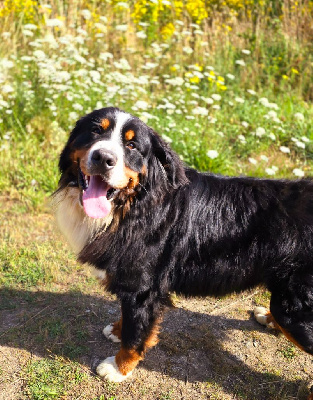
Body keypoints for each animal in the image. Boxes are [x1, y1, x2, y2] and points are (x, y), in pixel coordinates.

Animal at [53, 108, 312, 382]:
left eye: (132, 145)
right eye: (95, 131)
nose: (104, 158)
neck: (134, 206)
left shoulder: (142, 289)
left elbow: (135, 335)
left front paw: (118, 368)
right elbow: (128, 318)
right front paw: (116, 331)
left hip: (294, 307)